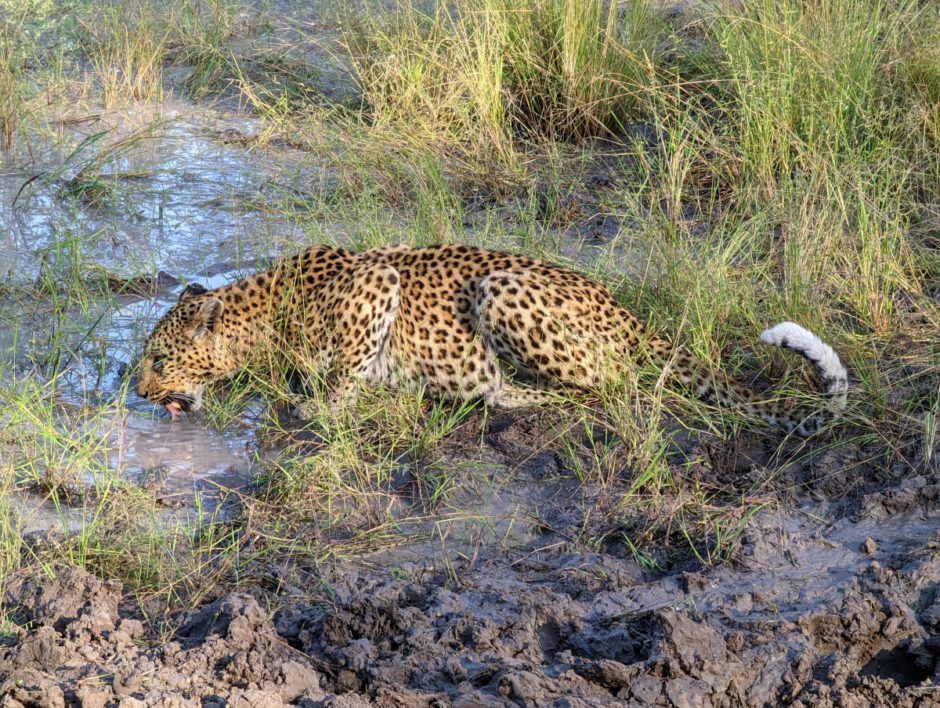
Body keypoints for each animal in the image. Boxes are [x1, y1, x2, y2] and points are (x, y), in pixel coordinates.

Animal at [138, 242, 852, 436]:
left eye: (159, 358)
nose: (141, 393)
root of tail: (625, 311)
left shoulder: (377, 281)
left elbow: (342, 374)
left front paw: (322, 405)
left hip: (498, 288)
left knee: (613, 388)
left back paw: (495, 395)